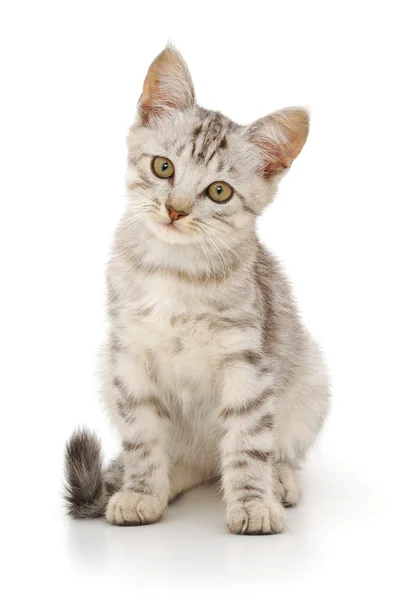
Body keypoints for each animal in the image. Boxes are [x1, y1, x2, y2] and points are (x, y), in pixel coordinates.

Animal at [64, 47, 330, 536]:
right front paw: (141, 493)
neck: (176, 273)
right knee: (189, 463)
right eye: (163, 166)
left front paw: (252, 503)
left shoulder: (247, 363)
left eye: (219, 191)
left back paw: (278, 480)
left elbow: (248, 441)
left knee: (271, 451)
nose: (175, 209)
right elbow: (142, 438)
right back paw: (161, 483)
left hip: (311, 381)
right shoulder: (130, 358)